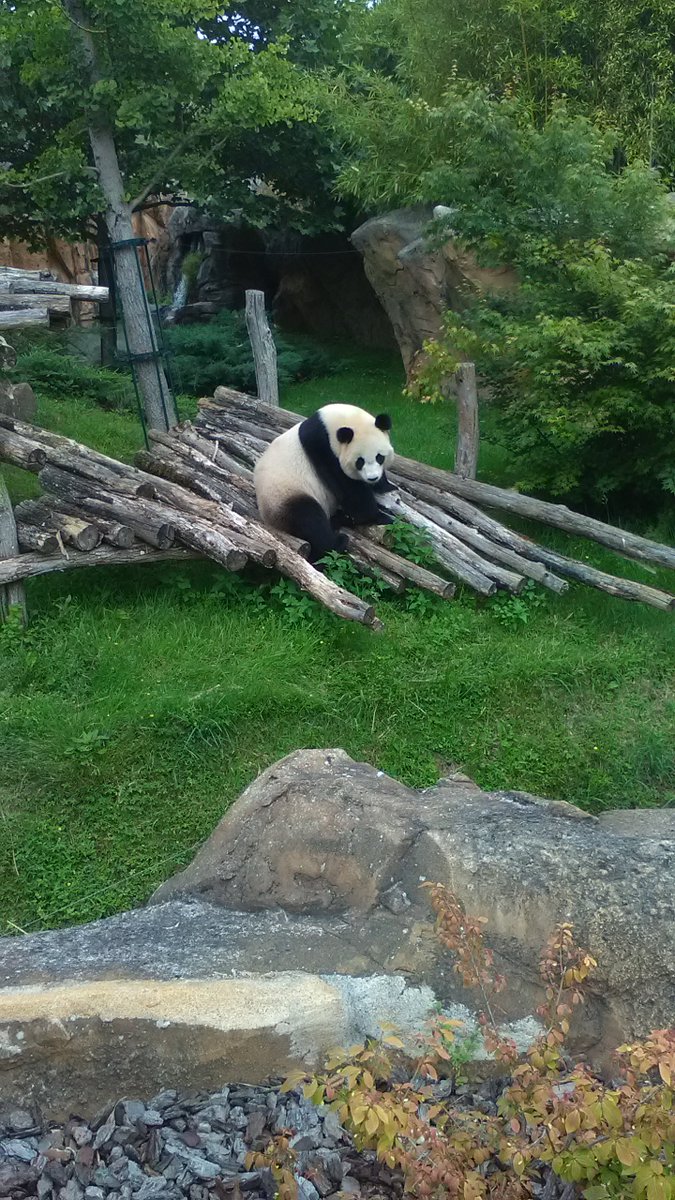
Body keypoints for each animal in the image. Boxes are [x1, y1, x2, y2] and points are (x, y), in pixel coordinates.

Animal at [254, 403, 396, 563]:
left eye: (380, 457)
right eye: (360, 461)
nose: (372, 478)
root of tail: (267, 518)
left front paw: (386, 486)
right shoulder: (322, 449)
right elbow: (349, 489)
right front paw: (380, 516)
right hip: (283, 495)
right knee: (309, 519)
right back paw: (338, 542)